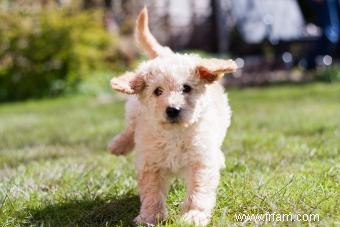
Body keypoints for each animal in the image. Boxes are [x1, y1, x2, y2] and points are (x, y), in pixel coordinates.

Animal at [109, 7, 236, 227]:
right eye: (157, 91)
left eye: (186, 88)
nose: (173, 109)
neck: (174, 135)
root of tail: (168, 54)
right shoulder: (151, 162)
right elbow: (151, 192)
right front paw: (149, 217)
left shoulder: (200, 161)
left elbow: (198, 191)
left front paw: (193, 215)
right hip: (134, 111)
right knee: (130, 128)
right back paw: (118, 145)